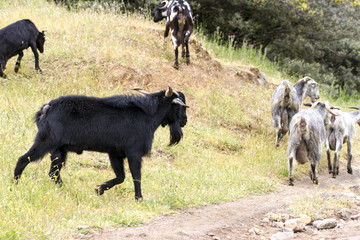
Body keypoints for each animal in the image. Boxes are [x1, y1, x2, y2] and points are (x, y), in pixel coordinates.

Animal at [14, 87, 188, 200]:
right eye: (179, 106)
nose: (185, 121)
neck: (148, 114)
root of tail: (46, 108)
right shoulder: (134, 152)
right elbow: (136, 176)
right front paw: (139, 198)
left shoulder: (115, 153)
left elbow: (121, 177)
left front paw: (99, 189)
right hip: (45, 142)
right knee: (23, 159)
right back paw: (15, 183)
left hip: (59, 150)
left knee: (53, 172)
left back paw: (65, 190)